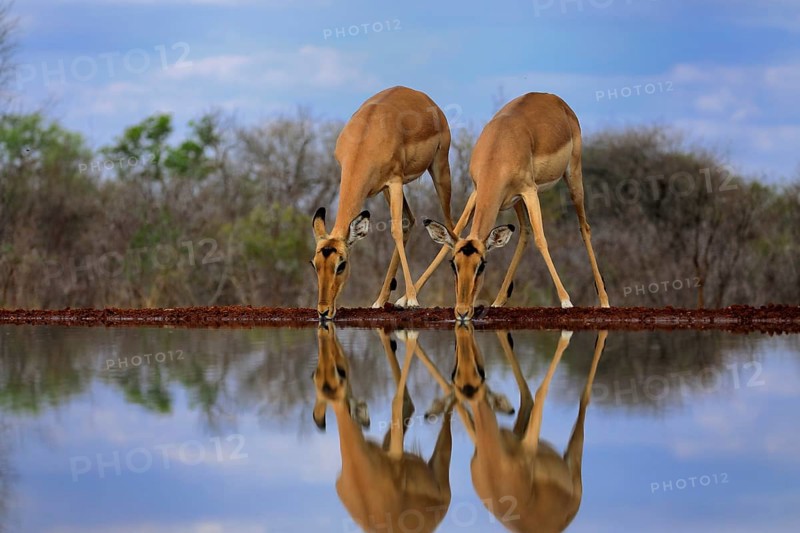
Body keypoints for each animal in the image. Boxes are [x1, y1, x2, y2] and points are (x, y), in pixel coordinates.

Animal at [311, 86, 455, 320]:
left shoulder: (394, 181)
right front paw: (389, 300)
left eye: (341, 265)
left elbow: (395, 231)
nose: (323, 311)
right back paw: (383, 300)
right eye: (315, 265)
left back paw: (409, 298)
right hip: (391, 189)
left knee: (451, 227)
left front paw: (413, 300)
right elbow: (401, 226)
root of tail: (426, 99)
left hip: (439, 168)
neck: (365, 139)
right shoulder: (385, 186)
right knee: (410, 220)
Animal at [420, 92, 610, 321]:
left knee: (584, 228)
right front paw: (406, 299)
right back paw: (498, 300)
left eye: (481, 265)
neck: (499, 148)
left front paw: (566, 301)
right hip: (515, 200)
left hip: (573, 177)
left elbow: (541, 240)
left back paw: (604, 301)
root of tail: (555, 99)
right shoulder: (477, 191)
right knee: (525, 232)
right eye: (454, 265)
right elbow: (455, 230)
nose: (463, 311)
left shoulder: (530, 191)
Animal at [445, 325, 608, 533]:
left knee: (582, 400)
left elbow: (540, 392)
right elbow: (530, 395)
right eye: (456, 376)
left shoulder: (527, 446)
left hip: (573, 459)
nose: (462, 334)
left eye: (479, 373)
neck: (494, 466)